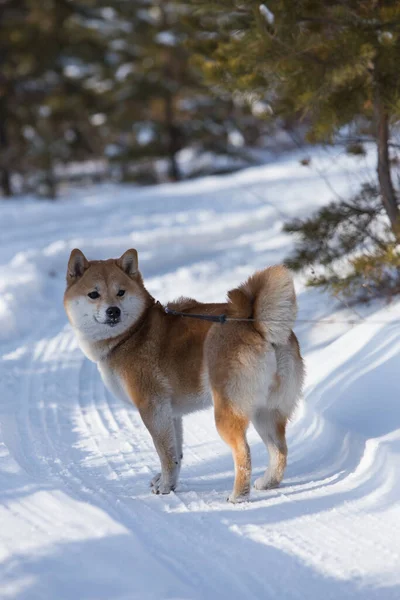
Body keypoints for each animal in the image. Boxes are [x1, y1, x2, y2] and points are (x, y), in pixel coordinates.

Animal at [65, 248, 304, 502]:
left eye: (121, 292)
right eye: (93, 294)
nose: (113, 311)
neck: (132, 333)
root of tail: (257, 326)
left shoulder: (152, 408)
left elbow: (165, 454)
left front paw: (164, 485)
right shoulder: (171, 413)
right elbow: (176, 454)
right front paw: (168, 483)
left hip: (228, 411)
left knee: (243, 453)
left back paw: (238, 496)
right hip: (266, 411)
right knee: (280, 451)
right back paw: (268, 482)